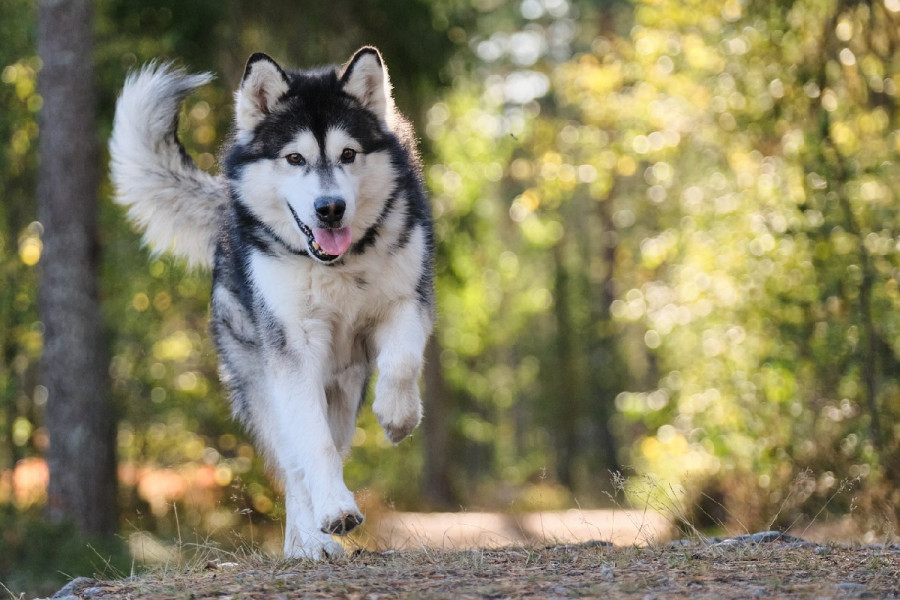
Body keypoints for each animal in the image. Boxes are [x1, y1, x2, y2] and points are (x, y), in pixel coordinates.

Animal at [110, 49, 434, 560]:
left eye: (348, 154)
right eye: (294, 158)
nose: (330, 208)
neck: (337, 266)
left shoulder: (407, 299)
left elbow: (401, 362)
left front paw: (398, 418)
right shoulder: (294, 351)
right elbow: (313, 446)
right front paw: (333, 512)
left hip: (343, 389)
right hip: (267, 384)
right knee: (297, 464)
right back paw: (311, 541)